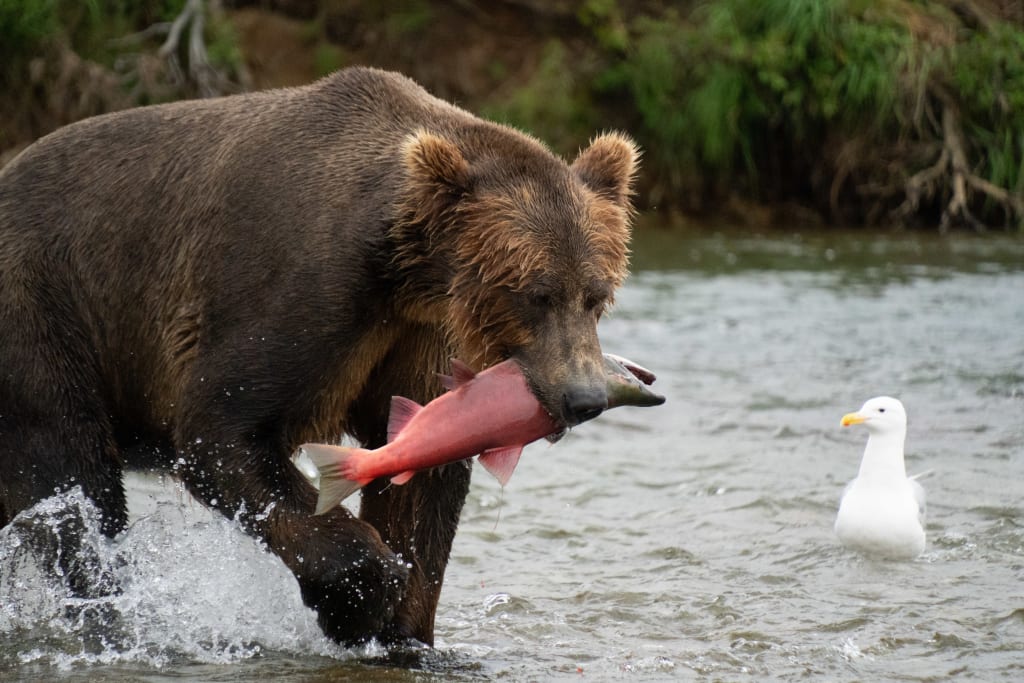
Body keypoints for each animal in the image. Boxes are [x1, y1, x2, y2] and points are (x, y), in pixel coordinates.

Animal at [0, 66, 638, 646]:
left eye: (597, 294)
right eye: (535, 294)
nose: (584, 397)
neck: (404, 273)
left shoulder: (418, 337)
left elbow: (417, 482)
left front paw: (405, 630)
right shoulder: (304, 291)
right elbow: (222, 429)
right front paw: (361, 597)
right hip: (44, 311)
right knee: (77, 484)